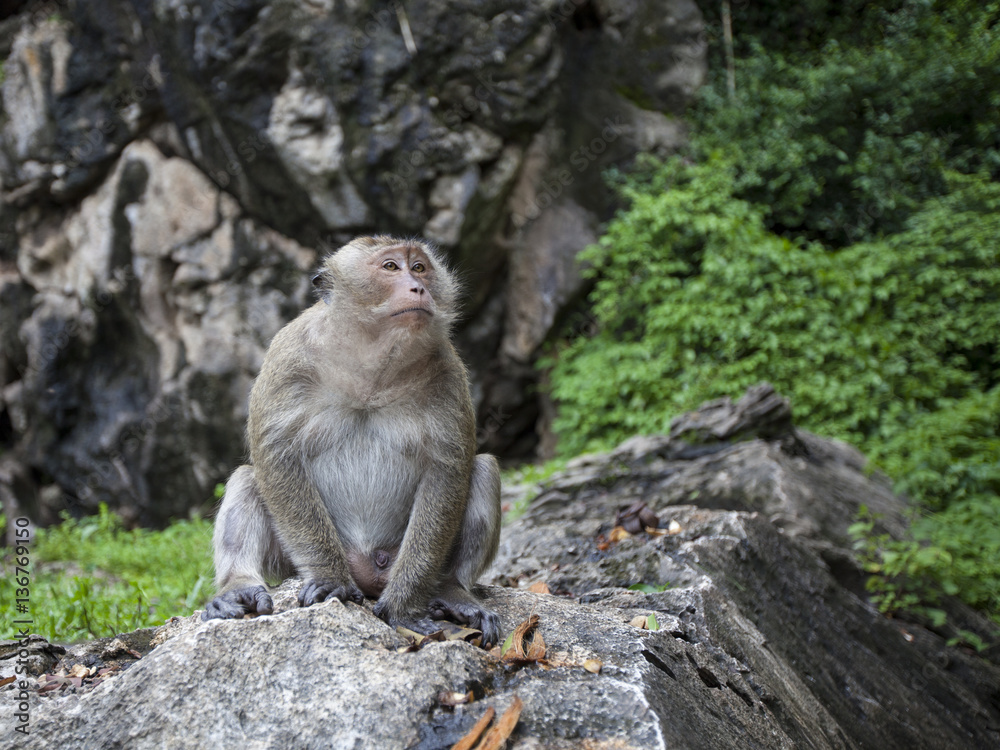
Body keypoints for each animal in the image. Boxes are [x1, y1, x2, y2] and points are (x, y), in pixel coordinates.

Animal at [202, 235, 503, 647]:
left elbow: (447, 472)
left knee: (484, 468)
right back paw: (239, 586)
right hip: (292, 561)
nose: (418, 287)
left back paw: (451, 589)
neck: (371, 363)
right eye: (391, 267)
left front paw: (404, 607)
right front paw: (331, 580)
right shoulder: (287, 358)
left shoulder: (448, 372)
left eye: (420, 267)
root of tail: (368, 571)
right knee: (248, 478)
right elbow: (277, 457)